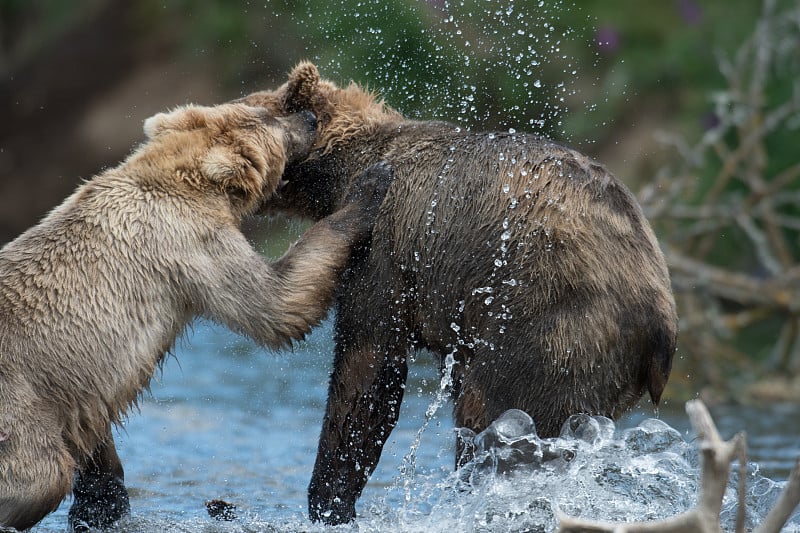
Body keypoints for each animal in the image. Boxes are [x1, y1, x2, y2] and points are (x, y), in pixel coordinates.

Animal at [0, 100, 390, 528]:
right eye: (270, 119)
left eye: (261, 108)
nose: (308, 117)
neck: (191, 183)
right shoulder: (191, 241)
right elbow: (277, 304)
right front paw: (371, 183)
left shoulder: (78, 392)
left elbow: (93, 435)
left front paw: (100, 503)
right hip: (17, 402)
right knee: (40, 475)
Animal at [241, 63, 680, 524]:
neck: (343, 170)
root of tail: (661, 324)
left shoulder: (384, 249)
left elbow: (368, 369)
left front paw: (329, 501)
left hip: (553, 326)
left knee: (493, 414)